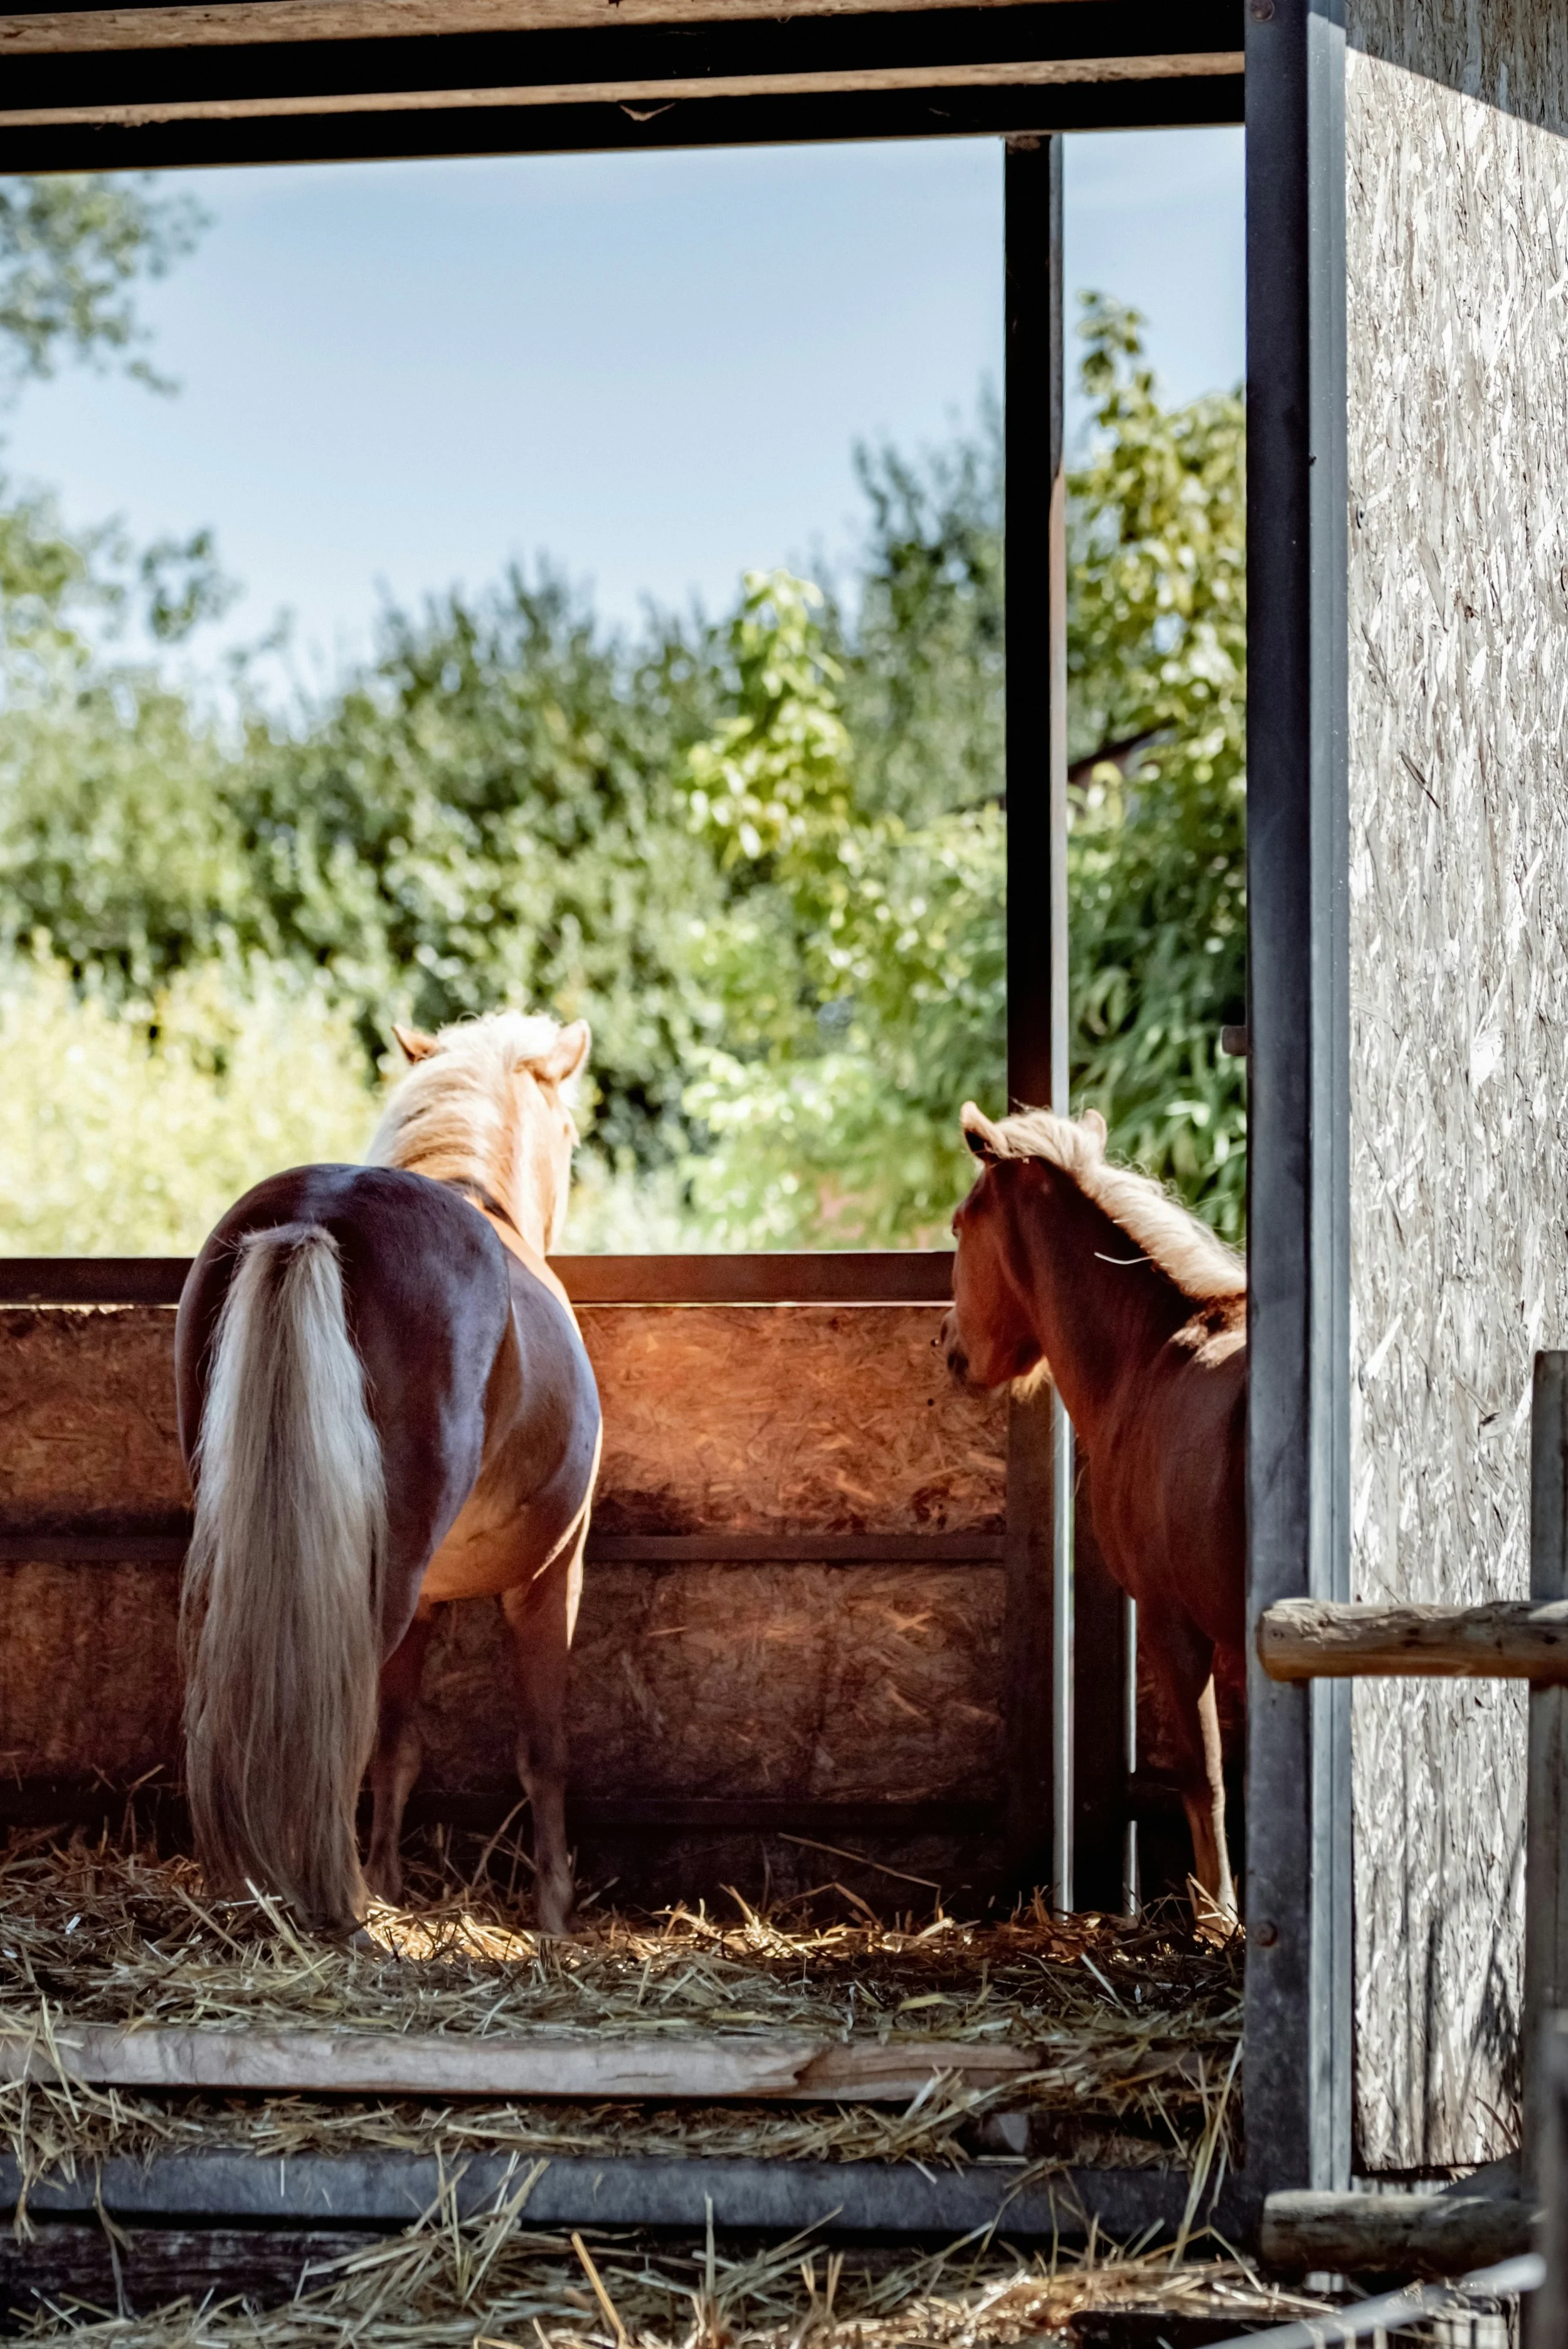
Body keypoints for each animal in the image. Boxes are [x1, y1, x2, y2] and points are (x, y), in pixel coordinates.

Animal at [174, 1009, 602, 1938]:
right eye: (572, 1132)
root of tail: (319, 1220)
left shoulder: (430, 1600)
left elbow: (401, 1746)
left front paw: (391, 1879)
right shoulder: (551, 1578)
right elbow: (544, 1750)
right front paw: (553, 1910)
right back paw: (334, 1898)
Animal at [941, 1101, 1246, 1914]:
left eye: (957, 1225)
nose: (946, 1343)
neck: (1152, 1355)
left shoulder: (1174, 1626)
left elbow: (1205, 1779)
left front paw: (1218, 1917)